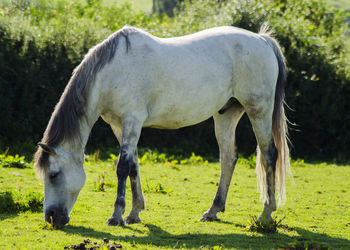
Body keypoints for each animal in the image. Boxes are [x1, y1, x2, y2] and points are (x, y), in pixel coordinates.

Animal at [33, 24, 290, 227]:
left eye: (53, 175)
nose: (51, 217)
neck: (114, 71)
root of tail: (262, 40)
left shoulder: (132, 120)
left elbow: (122, 167)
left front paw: (116, 216)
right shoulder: (120, 126)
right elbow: (134, 167)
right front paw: (134, 213)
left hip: (259, 111)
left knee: (269, 155)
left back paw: (266, 214)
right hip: (226, 115)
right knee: (228, 158)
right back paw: (213, 211)